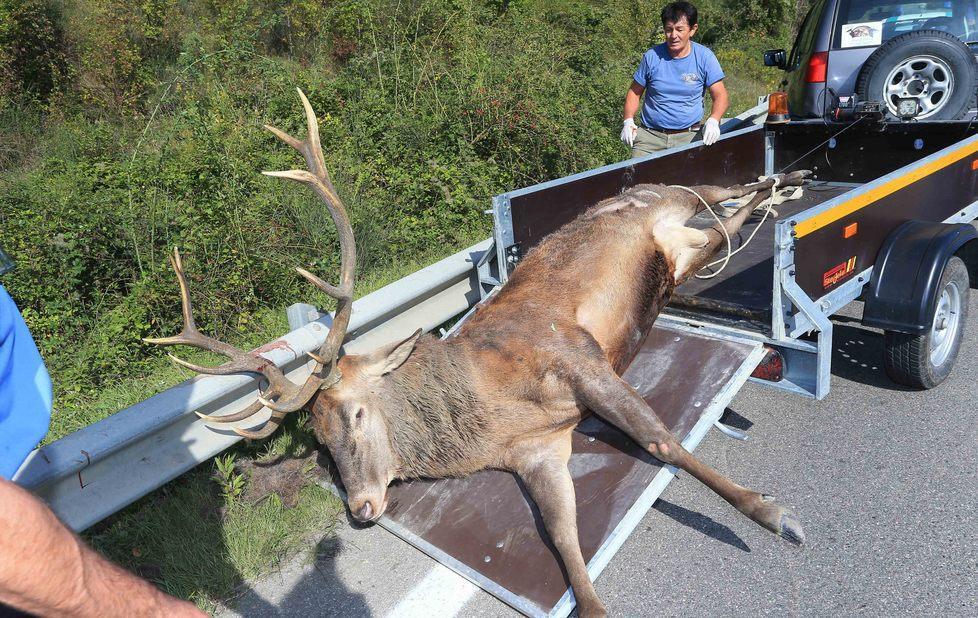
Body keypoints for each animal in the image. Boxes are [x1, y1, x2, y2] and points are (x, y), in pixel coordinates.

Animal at [145, 90, 810, 617]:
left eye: (354, 415)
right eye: (320, 442)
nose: (361, 507)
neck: (491, 408)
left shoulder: (577, 354)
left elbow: (661, 440)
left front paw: (774, 515)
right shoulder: (536, 450)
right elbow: (563, 540)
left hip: (674, 194)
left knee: (725, 188)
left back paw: (790, 181)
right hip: (682, 248)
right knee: (730, 218)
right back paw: (780, 195)